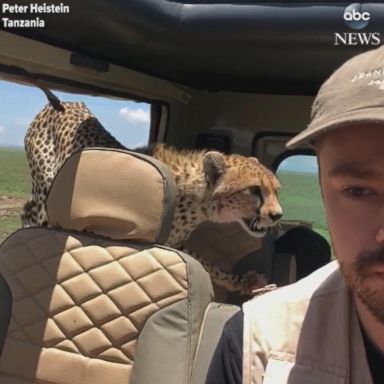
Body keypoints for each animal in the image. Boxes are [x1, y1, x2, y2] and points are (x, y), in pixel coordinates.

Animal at [22, 100, 284, 294]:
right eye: (254, 190)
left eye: (276, 190)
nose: (277, 215)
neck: (198, 200)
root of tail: (69, 101)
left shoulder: (175, 245)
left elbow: (206, 262)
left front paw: (244, 283)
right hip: (46, 193)